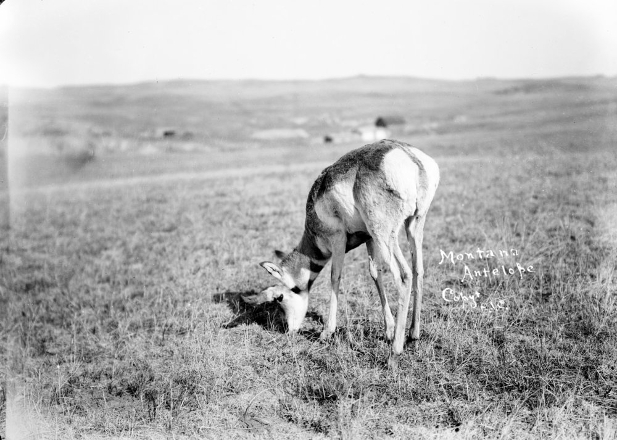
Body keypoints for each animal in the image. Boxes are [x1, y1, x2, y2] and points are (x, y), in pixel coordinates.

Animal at [241, 139, 438, 366]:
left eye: (280, 297)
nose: (290, 331)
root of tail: (407, 154)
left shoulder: (338, 241)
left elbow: (335, 277)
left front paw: (327, 331)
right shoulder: (368, 239)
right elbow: (375, 273)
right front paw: (389, 329)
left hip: (386, 235)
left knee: (404, 276)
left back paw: (394, 352)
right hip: (411, 227)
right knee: (418, 270)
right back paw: (413, 334)